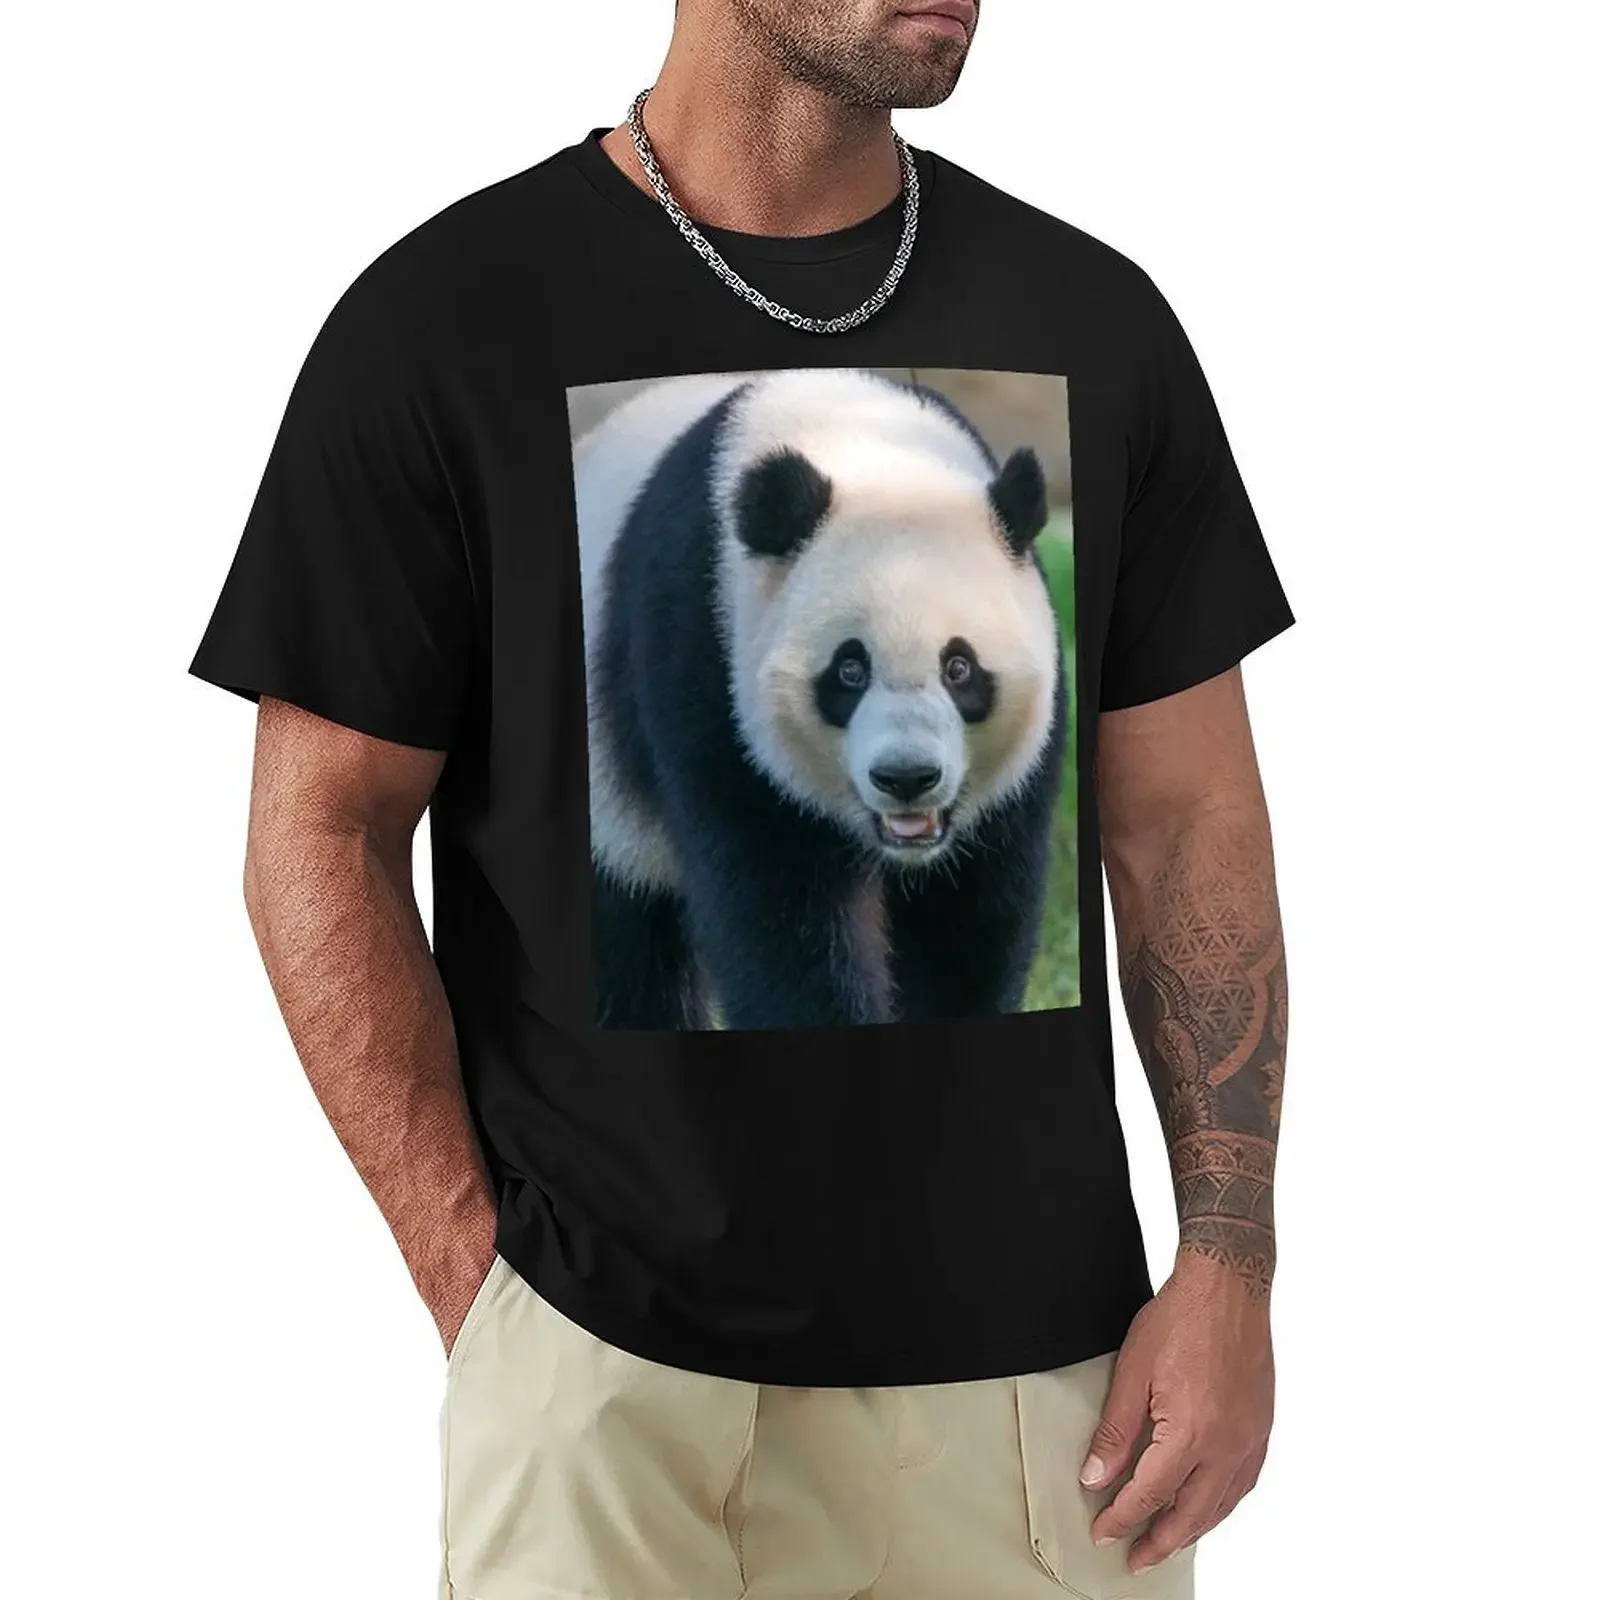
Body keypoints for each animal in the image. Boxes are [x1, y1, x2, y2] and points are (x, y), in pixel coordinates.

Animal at [575, 368, 1066, 1031]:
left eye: (959, 667)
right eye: (850, 670)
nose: (907, 777)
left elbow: (965, 920)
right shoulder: (704, 654)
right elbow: (778, 912)